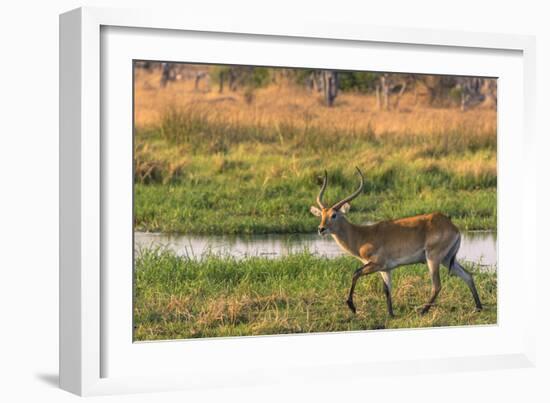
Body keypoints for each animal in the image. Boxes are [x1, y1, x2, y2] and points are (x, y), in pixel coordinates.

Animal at [312, 169, 486, 318]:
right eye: (322, 214)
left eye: (334, 215)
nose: (321, 229)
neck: (362, 236)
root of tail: (452, 226)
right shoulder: (385, 269)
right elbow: (387, 289)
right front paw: (391, 314)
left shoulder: (376, 264)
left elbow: (355, 273)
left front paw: (352, 307)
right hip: (446, 259)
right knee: (467, 275)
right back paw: (478, 307)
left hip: (433, 259)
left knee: (437, 285)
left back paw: (422, 311)